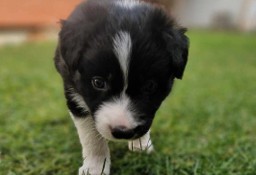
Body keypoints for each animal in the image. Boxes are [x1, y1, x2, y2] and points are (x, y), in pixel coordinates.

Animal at [54, 0, 189, 174]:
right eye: (98, 82)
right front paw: (95, 168)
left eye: (150, 86)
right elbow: (91, 136)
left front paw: (141, 145)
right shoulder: (73, 91)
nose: (123, 131)